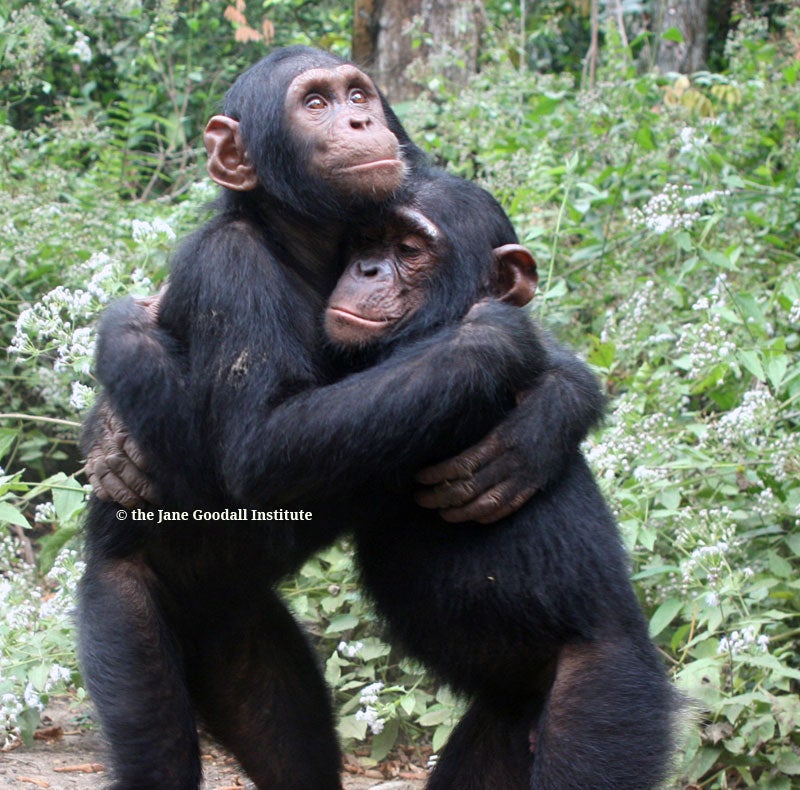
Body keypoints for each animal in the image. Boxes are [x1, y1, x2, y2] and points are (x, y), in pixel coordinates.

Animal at [81, 46, 608, 788]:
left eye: (356, 93)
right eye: (315, 104)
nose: (360, 118)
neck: (304, 249)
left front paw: (551, 406)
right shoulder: (230, 272)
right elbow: (258, 451)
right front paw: (499, 343)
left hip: (239, 627)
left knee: (285, 731)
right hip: (121, 608)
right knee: (150, 731)